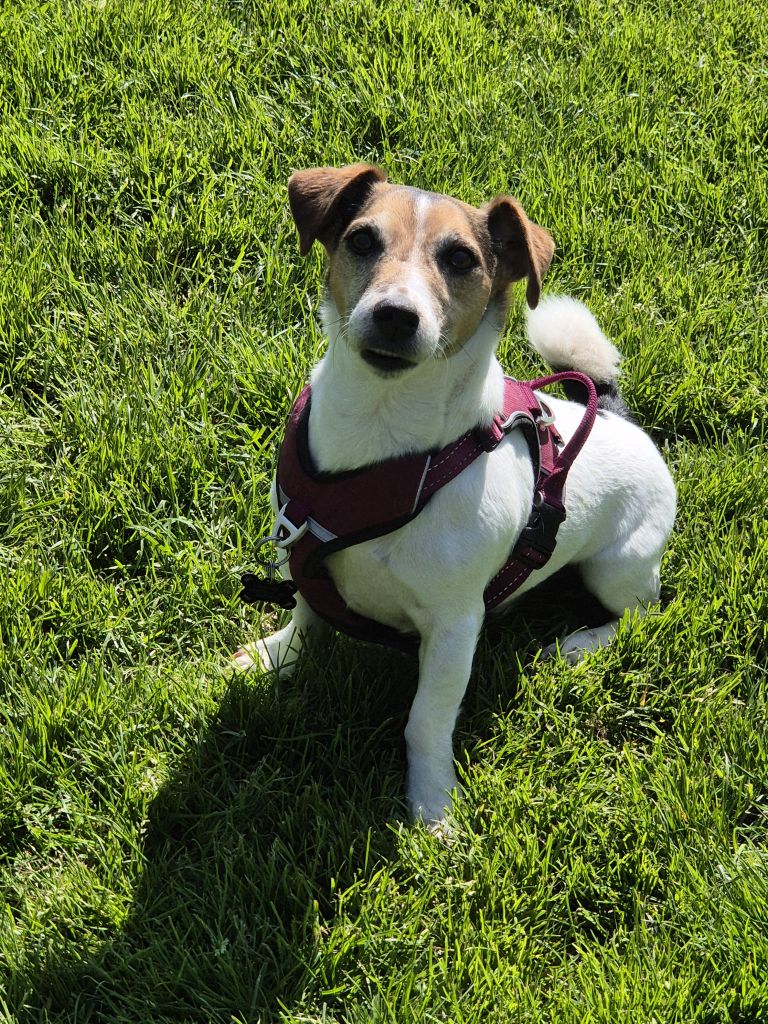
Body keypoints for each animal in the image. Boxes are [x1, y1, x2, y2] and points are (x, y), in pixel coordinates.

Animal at [233, 164, 676, 825]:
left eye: (462, 259)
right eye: (361, 240)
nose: (396, 315)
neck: (384, 436)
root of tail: (618, 414)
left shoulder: (453, 628)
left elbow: (426, 721)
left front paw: (431, 802)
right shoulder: (304, 550)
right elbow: (307, 617)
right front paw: (277, 657)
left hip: (617, 568)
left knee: (643, 611)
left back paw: (578, 644)